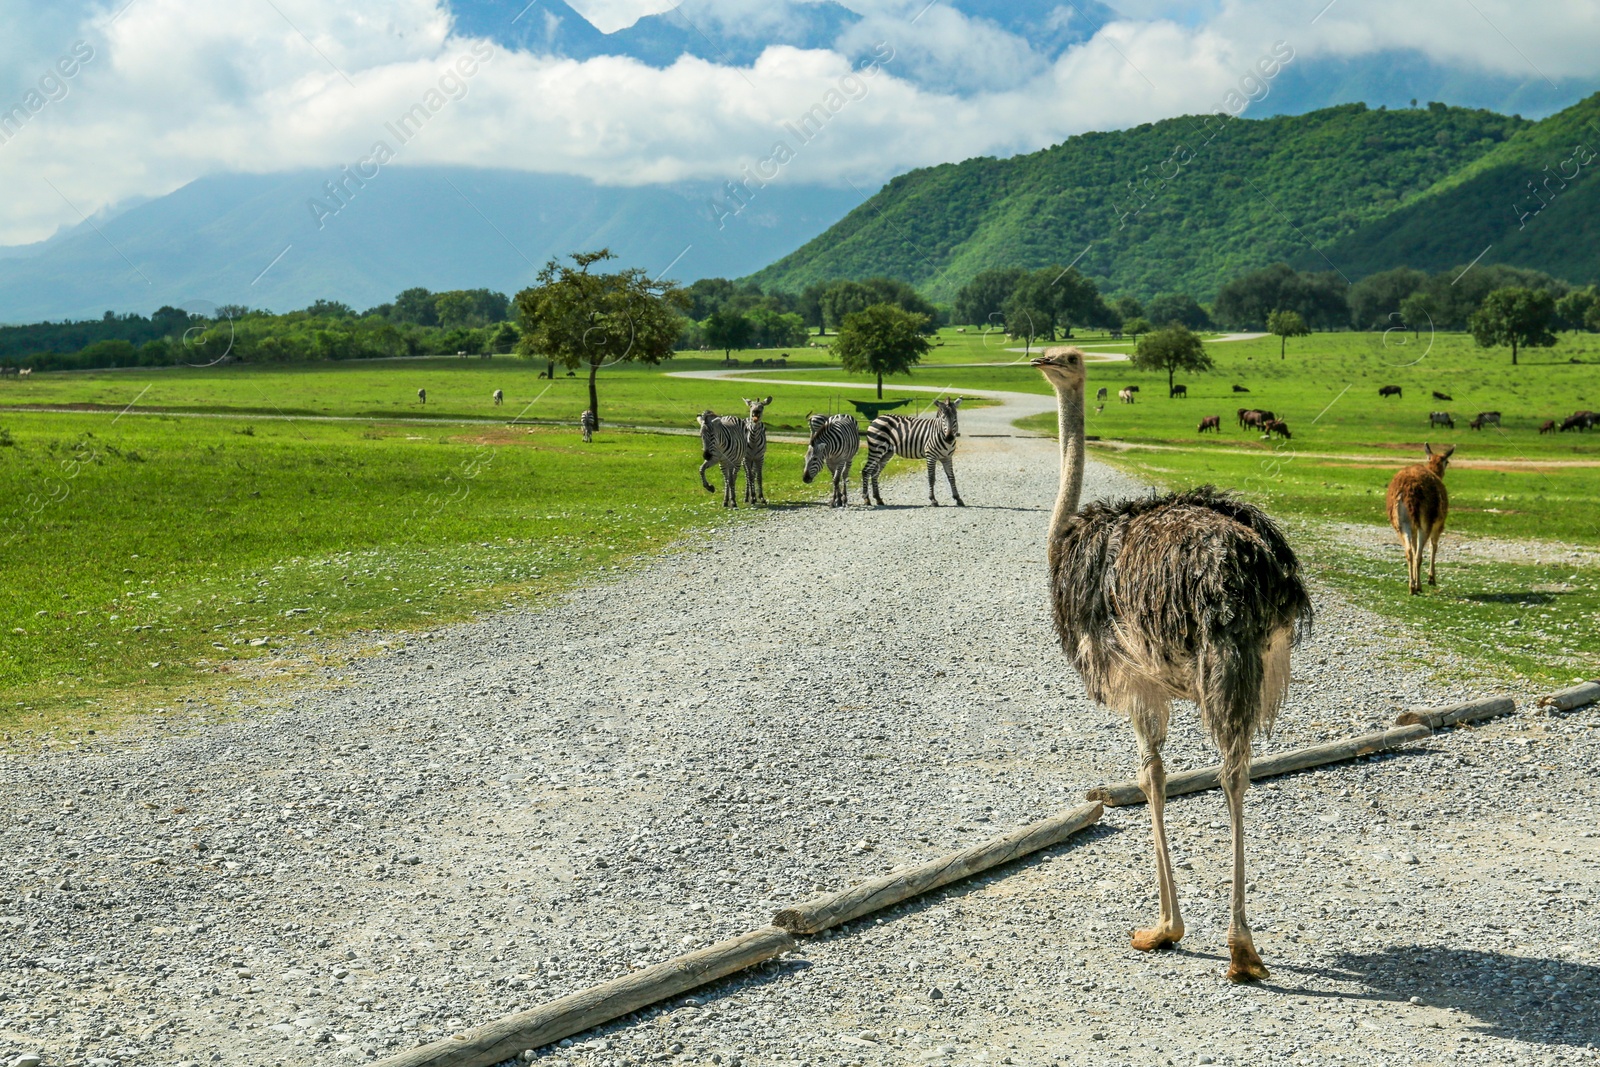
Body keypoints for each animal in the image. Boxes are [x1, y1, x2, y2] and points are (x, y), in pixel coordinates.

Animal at [1382, 441, 1459, 591]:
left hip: (1400, 521)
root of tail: (1410, 492)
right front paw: (1432, 579)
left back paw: (1411, 586)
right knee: (1419, 553)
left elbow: (1413, 546)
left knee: (1409, 551)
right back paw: (1418, 586)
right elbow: (1434, 546)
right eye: (1447, 461)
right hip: (1427, 519)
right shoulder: (1440, 523)